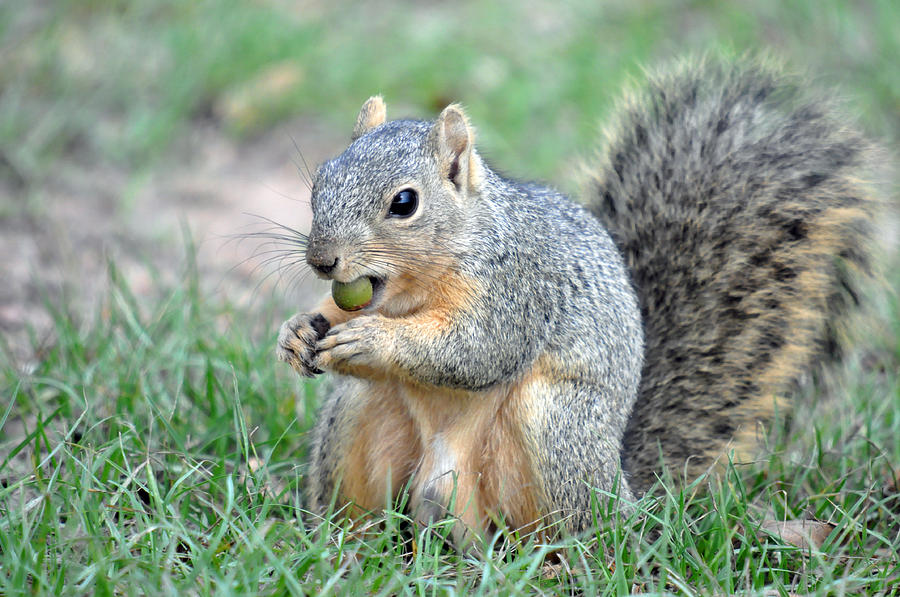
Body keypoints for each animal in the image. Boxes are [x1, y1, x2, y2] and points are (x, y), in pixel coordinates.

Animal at [276, 57, 880, 544]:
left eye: (404, 203)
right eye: (321, 179)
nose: (323, 260)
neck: (412, 291)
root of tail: (628, 489)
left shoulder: (519, 288)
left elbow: (476, 351)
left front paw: (373, 340)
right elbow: (338, 315)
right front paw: (296, 332)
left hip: (552, 426)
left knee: (569, 529)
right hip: (361, 415)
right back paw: (345, 545)